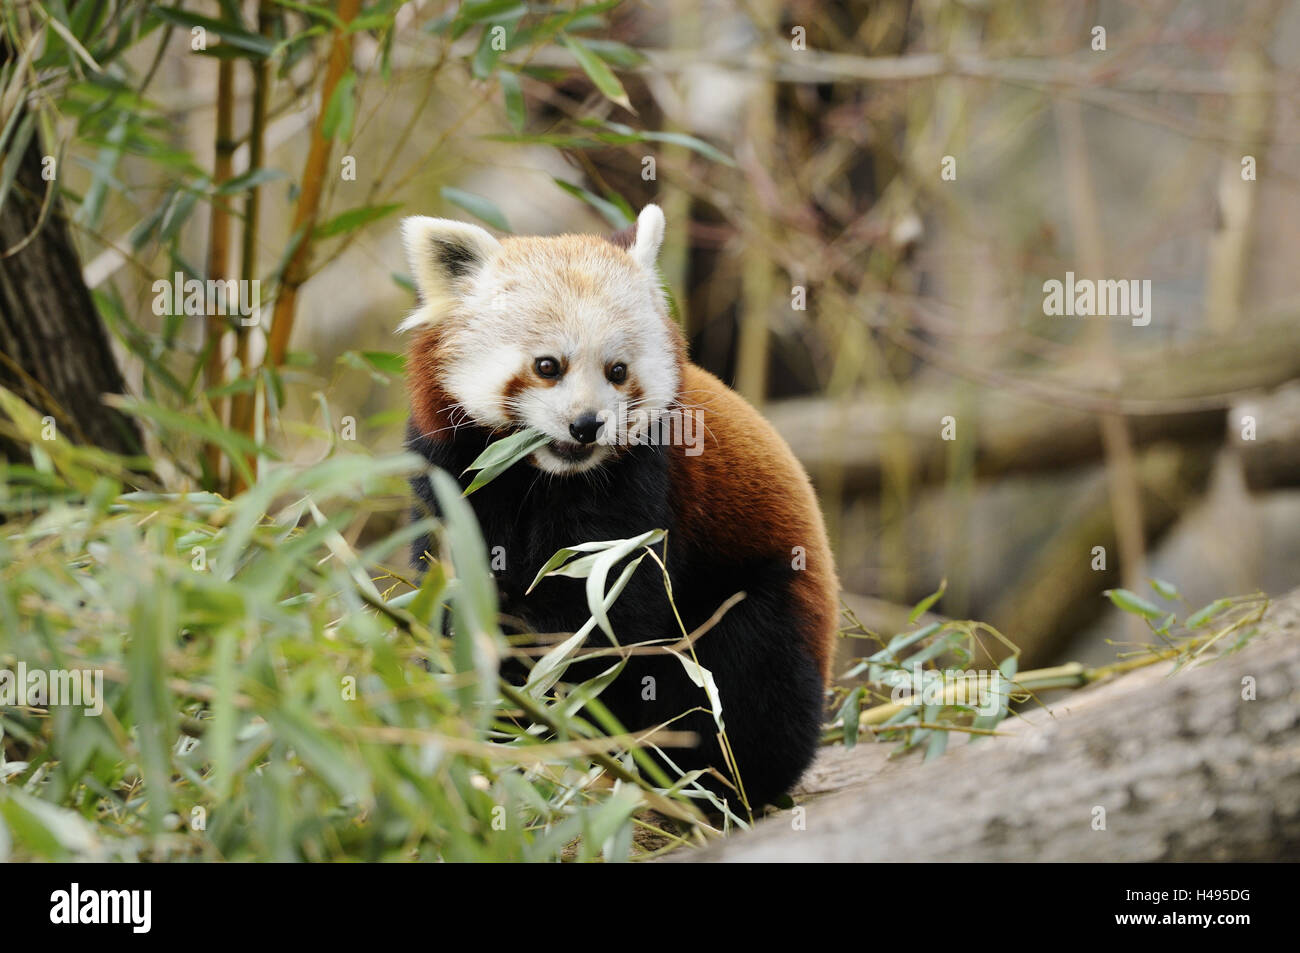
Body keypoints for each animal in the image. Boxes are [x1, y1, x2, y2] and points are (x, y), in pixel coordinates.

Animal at [400, 204, 837, 806]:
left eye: (617, 371)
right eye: (547, 366)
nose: (587, 425)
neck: (543, 477)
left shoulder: (639, 492)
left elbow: (607, 617)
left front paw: (543, 699)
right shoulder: (454, 471)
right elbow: (456, 586)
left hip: (771, 591)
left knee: (749, 681)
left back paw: (710, 783)